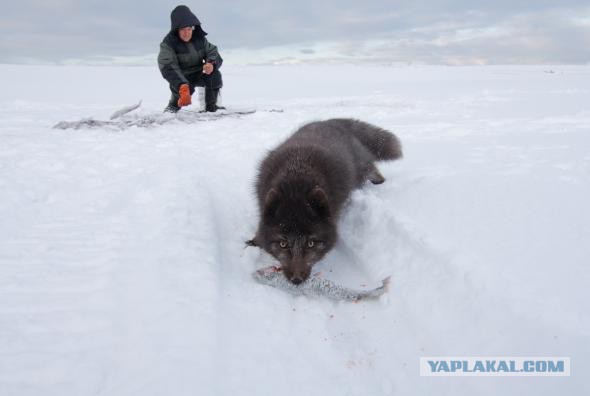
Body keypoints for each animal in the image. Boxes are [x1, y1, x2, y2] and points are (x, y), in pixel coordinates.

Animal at [247, 119, 404, 284]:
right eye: (283, 244)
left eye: (311, 244)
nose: (297, 280)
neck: (296, 181)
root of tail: (331, 122)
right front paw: (256, 240)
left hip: (359, 166)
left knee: (370, 166)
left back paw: (379, 180)